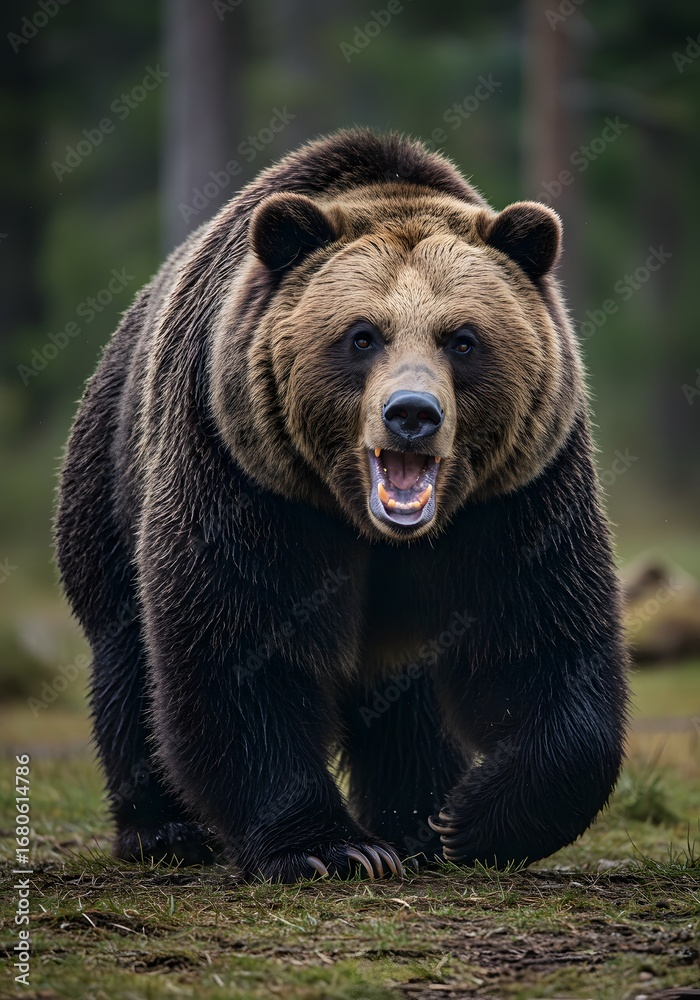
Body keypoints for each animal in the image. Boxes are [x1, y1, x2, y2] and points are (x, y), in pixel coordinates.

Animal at [55, 128, 628, 882]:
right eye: (363, 335)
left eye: (462, 339)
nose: (411, 414)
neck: (373, 527)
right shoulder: (247, 476)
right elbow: (241, 642)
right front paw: (329, 846)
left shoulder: (517, 493)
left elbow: (543, 636)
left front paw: (468, 820)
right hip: (111, 477)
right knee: (125, 650)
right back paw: (164, 829)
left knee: (408, 698)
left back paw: (415, 820)